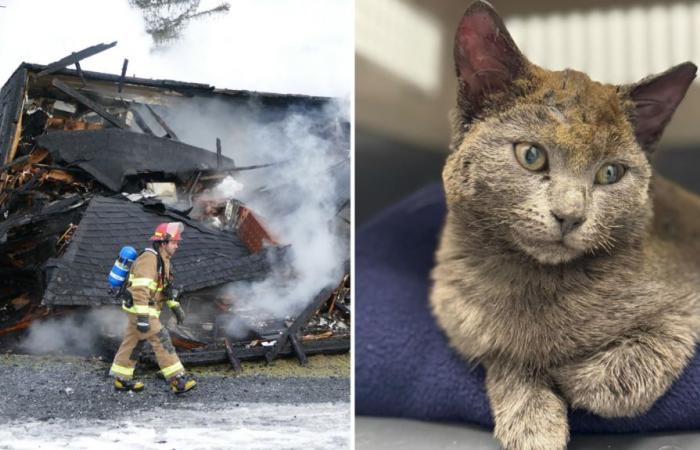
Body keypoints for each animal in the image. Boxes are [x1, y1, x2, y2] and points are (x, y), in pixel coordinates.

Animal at [430, 0, 700, 450]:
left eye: (610, 173)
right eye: (531, 154)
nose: (570, 215)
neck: (532, 281)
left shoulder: (686, 295)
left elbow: (657, 336)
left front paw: (578, 378)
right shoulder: (464, 319)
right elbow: (506, 356)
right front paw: (532, 422)